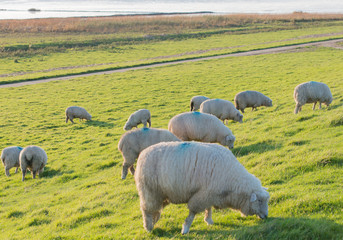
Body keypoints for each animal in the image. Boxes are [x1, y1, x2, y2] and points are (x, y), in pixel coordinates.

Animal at [136, 142, 270, 233]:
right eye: (259, 201)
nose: (266, 216)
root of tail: (142, 154)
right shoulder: (202, 195)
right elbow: (193, 212)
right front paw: (185, 228)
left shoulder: (209, 193)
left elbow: (208, 208)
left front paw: (208, 220)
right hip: (149, 191)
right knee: (146, 210)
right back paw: (148, 227)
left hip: (162, 195)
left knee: (155, 210)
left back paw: (153, 222)